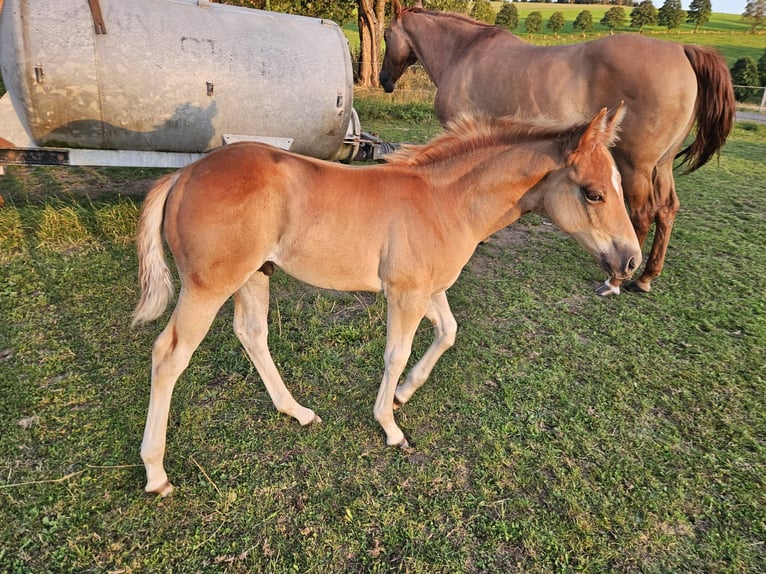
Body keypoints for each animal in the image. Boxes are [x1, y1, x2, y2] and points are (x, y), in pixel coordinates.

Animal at [134, 107, 640, 496]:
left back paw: (297, 412)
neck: (446, 202)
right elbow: (396, 353)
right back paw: (156, 473)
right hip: (208, 286)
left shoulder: (430, 289)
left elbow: (448, 333)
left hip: (256, 274)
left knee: (252, 334)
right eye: (594, 192)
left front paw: (403, 394)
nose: (630, 261)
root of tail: (182, 175)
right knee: (169, 354)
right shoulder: (406, 293)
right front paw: (391, 427)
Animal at [380, 1, 736, 296]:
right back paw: (647, 277)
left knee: (644, 213)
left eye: (386, 35)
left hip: (635, 165)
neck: (463, 51)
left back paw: (616, 281)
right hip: (660, 165)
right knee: (667, 209)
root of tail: (682, 49)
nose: (384, 80)